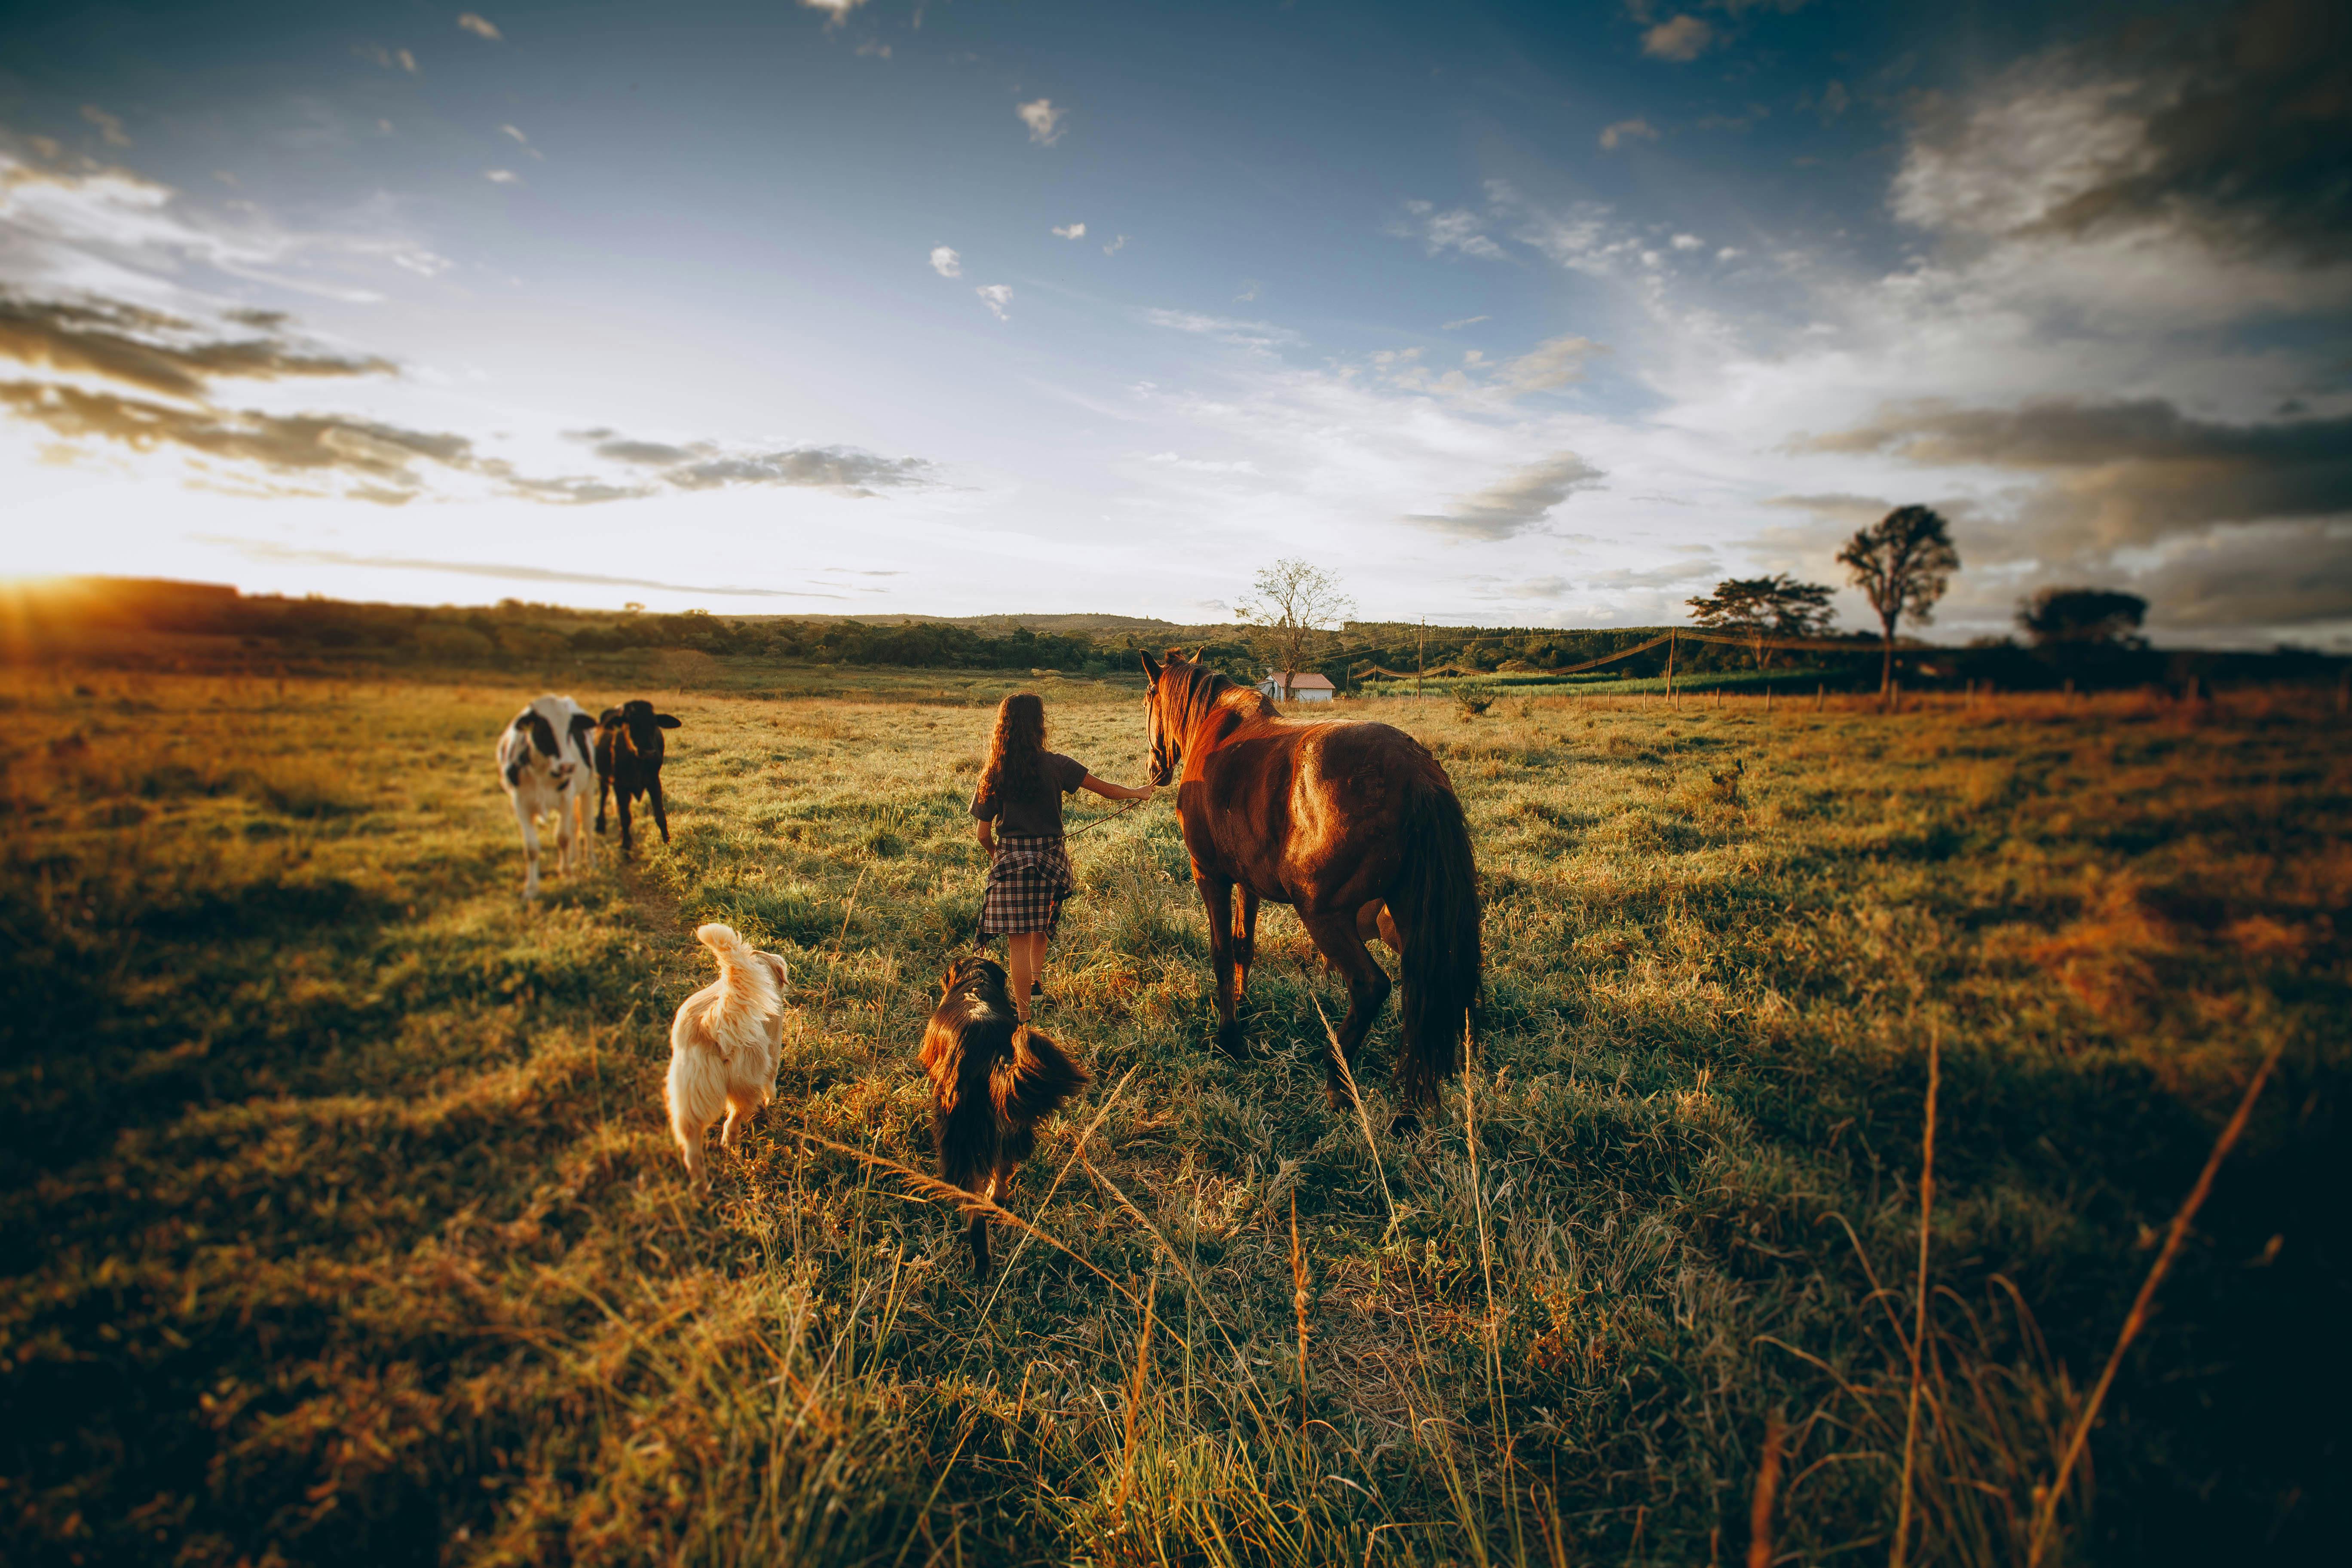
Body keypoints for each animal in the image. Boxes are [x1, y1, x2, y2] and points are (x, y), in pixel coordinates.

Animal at [499, 695, 602, 903]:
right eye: (543, 729)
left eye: (570, 729)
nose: (568, 766)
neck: (541, 770)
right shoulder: (521, 805)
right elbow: (531, 849)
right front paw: (531, 889)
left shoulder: (566, 799)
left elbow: (563, 838)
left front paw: (568, 876)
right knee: (574, 825)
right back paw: (573, 858)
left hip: (587, 788)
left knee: (586, 826)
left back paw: (590, 860)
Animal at [597, 700, 682, 860]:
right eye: (629, 723)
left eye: (654, 723)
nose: (648, 752)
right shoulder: (620, 785)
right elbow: (625, 818)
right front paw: (626, 849)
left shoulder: (654, 782)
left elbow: (660, 815)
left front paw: (668, 842)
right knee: (604, 795)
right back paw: (601, 825)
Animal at [668, 921, 795, 1189]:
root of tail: (715, 1016)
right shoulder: (774, 1043)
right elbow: (772, 1083)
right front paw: (772, 1103)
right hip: (745, 1083)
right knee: (733, 1120)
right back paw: (731, 1144)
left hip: (689, 1093)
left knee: (692, 1145)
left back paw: (700, 1185)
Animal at [926, 959, 1091, 1279]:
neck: (974, 982)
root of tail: (992, 1057)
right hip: (1013, 1126)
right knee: (1004, 1168)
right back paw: (997, 1200)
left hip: (960, 1142)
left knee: (975, 1214)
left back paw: (981, 1266)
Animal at [1133, 649, 1477, 1128]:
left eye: (1148, 699)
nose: (1154, 769)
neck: (1218, 733)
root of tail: (1418, 776)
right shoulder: (1248, 882)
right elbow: (1244, 946)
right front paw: (1242, 1002)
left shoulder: (1210, 875)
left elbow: (1221, 952)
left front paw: (1229, 1036)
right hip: (1410, 918)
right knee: (1421, 996)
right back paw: (1407, 1109)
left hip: (1323, 914)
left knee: (1370, 986)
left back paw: (1338, 1082)